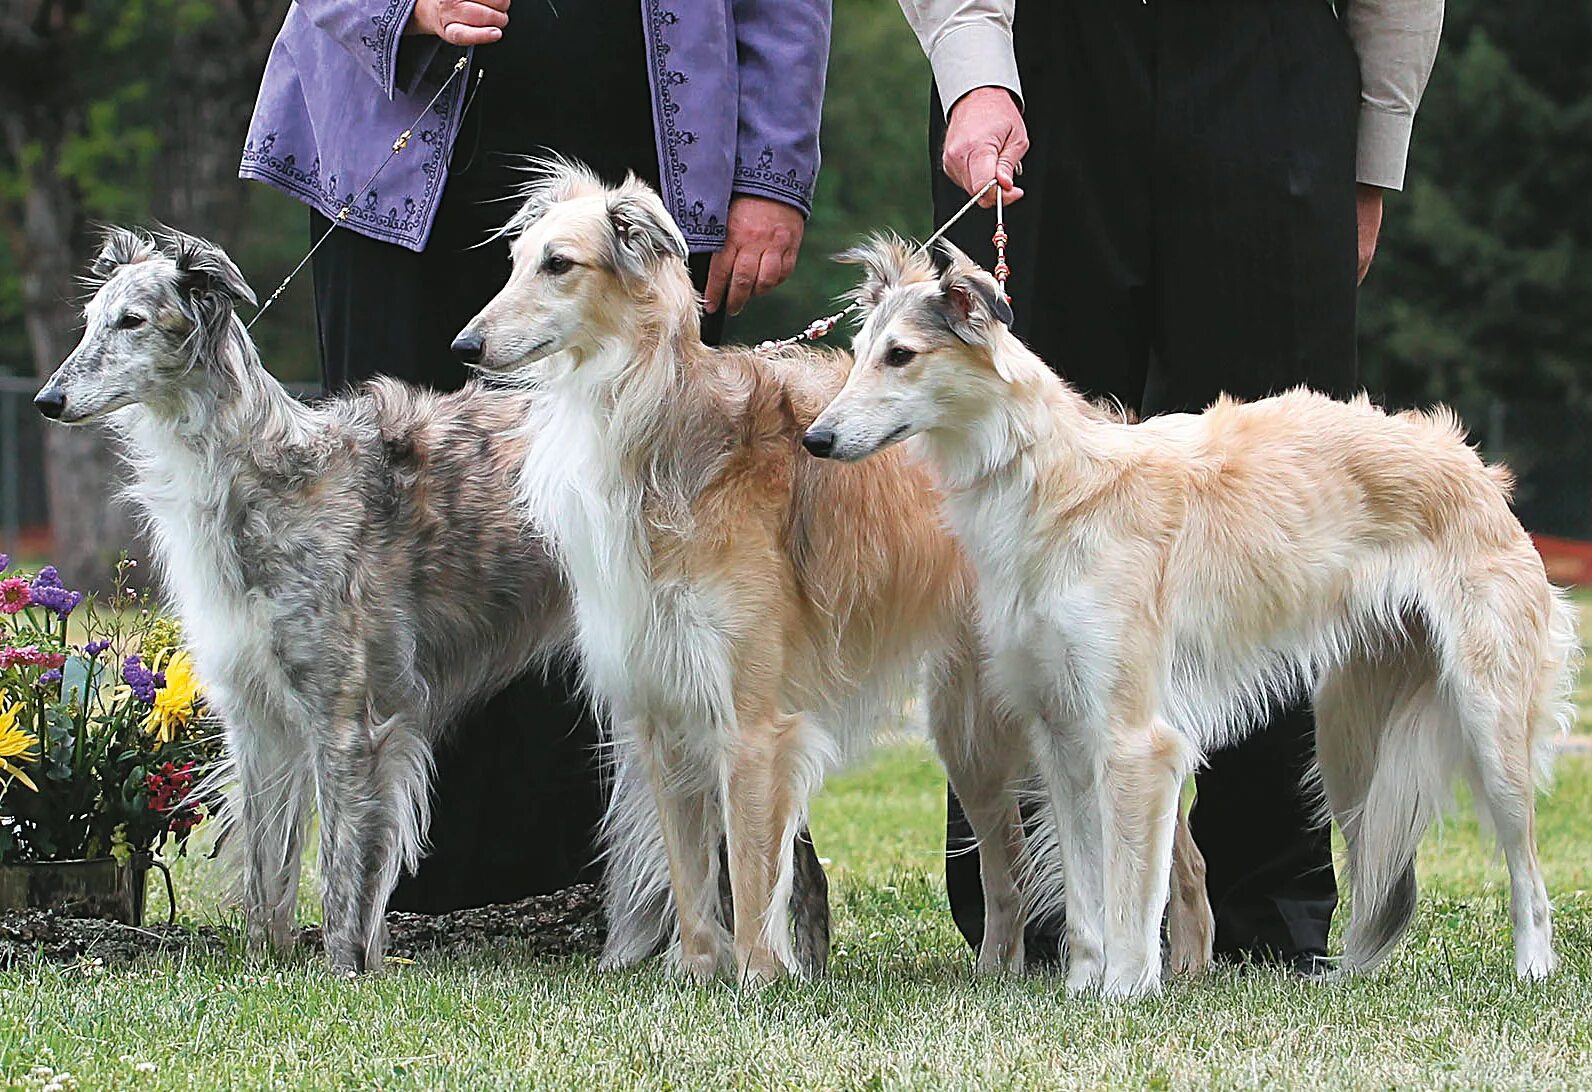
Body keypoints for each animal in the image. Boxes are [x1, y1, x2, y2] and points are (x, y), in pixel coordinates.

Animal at [37, 229, 827, 974]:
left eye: (133, 320)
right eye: (88, 320)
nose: (49, 401)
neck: (268, 472)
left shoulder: (347, 722)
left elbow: (342, 878)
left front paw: (341, 975)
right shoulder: (257, 719)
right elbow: (269, 877)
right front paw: (266, 967)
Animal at [808, 237, 1579, 999]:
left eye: (901, 355)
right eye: (860, 349)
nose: (816, 440)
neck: (1055, 480)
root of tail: (1476, 467)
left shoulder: (1134, 743)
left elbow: (1128, 898)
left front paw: (1125, 994)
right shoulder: (1062, 734)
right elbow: (1087, 898)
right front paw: (1081, 990)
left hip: (1488, 718)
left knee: (1527, 871)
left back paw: (1533, 969)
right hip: (1350, 742)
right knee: (1376, 869)